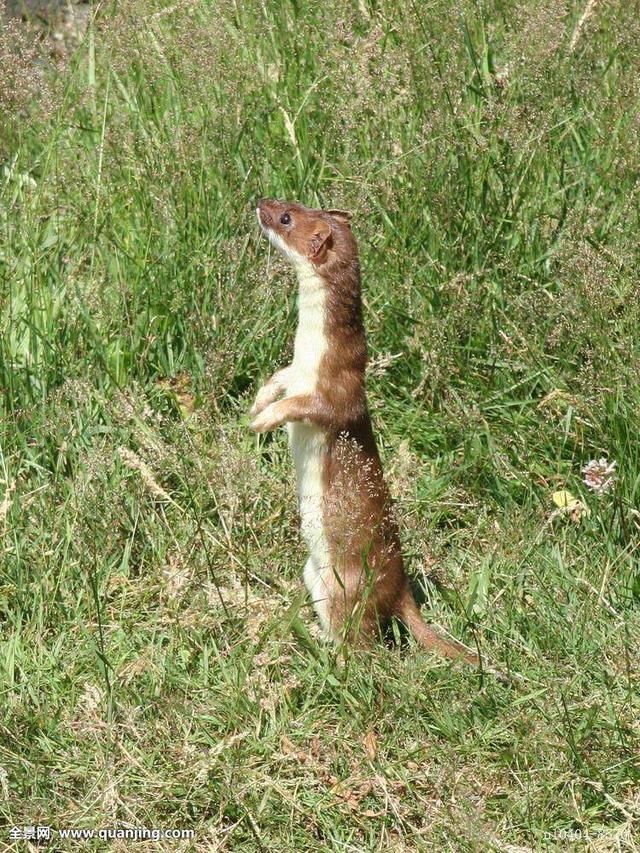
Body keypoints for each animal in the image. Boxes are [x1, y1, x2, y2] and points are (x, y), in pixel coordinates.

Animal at [250, 196, 490, 676]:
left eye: (286, 218)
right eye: (294, 200)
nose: (260, 202)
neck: (309, 350)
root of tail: (400, 590)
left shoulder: (336, 390)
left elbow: (307, 407)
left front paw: (265, 420)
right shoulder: (294, 369)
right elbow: (279, 378)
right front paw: (259, 401)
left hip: (343, 585)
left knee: (362, 640)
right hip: (312, 572)